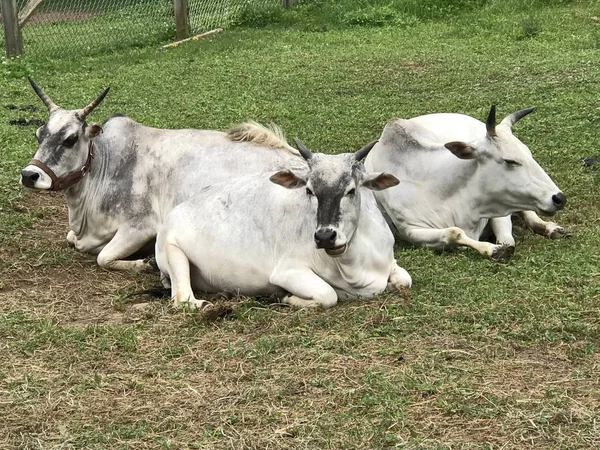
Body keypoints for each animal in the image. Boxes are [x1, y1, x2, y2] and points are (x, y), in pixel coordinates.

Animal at [19, 78, 302, 270]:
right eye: (38, 134)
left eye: (70, 139)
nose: (29, 175)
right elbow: (72, 240)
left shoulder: (142, 225)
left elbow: (103, 257)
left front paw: (145, 263)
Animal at [154, 141, 412, 310]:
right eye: (309, 190)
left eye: (350, 190)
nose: (325, 237)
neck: (353, 265)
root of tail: (176, 212)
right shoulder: (288, 271)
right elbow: (328, 295)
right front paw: (285, 298)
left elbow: (404, 280)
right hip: (173, 253)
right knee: (183, 299)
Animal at [366, 106, 568, 260]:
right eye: (510, 161)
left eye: (529, 154)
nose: (559, 198)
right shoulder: (410, 230)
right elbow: (453, 232)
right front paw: (492, 249)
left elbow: (505, 237)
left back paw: (551, 228)